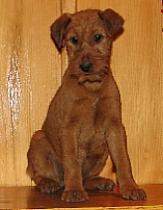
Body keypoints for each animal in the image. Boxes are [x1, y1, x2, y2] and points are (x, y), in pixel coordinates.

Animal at [26, 9, 146, 203]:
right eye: (73, 39)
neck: (92, 88)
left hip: (102, 149)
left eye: (98, 37)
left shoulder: (115, 127)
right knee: (38, 176)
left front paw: (130, 187)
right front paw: (74, 190)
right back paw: (49, 183)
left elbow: (123, 160)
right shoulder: (69, 128)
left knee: (86, 177)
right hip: (38, 139)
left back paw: (99, 182)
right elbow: (72, 162)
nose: (85, 66)